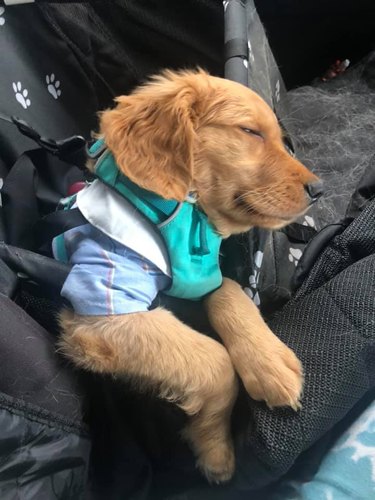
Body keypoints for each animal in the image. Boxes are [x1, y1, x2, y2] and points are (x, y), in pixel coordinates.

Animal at [58, 68, 320, 482]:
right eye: (250, 131)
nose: (318, 189)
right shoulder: (102, 310)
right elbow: (216, 363)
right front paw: (215, 451)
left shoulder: (200, 276)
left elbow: (230, 292)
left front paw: (268, 361)